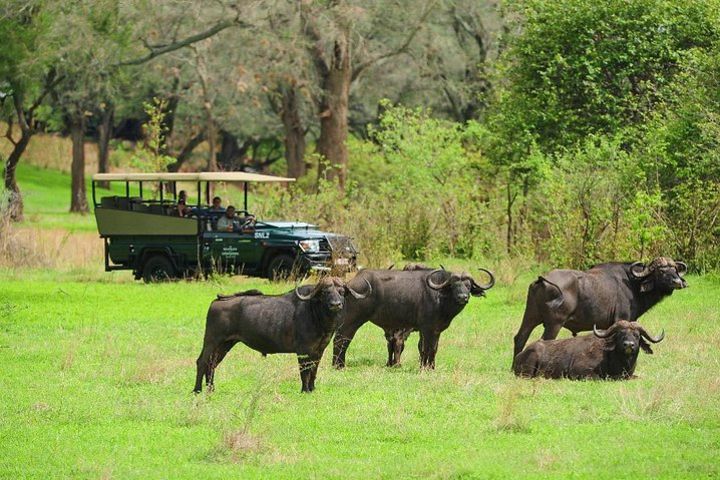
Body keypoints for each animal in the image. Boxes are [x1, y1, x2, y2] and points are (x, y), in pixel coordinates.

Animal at [193, 276, 372, 392]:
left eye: (341, 291)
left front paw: (312, 388)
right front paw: (305, 390)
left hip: (225, 344)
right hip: (211, 341)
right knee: (202, 362)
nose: (336, 304)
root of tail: (217, 301)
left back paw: (211, 389)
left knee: (212, 364)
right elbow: (304, 371)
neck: (316, 315)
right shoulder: (303, 350)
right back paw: (197, 390)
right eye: (325, 292)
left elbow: (314, 370)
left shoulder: (319, 350)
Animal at [334, 264, 496, 370]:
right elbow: (426, 348)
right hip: (352, 320)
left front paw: (432, 367)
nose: (463, 297)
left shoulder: (436, 330)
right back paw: (339, 365)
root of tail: (347, 286)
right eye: (454, 285)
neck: (440, 297)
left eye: (468, 286)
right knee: (342, 339)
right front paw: (424, 367)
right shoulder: (426, 329)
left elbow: (434, 348)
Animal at [512, 255, 688, 364]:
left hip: (530, 317)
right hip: (554, 324)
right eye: (661, 270)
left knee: (519, 338)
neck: (633, 284)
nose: (678, 282)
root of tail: (542, 279)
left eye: (674, 269)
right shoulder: (621, 319)